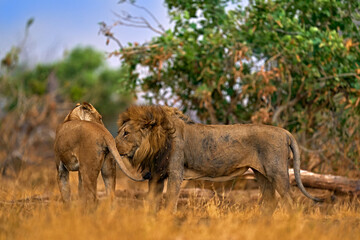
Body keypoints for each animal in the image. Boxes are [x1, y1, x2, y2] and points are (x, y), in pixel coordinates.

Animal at [116, 105, 324, 212]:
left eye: (126, 133)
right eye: (120, 132)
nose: (114, 145)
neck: (155, 144)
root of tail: (284, 132)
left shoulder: (175, 172)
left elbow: (169, 201)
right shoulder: (156, 175)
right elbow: (151, 202)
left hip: (277, 172)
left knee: (289, 201)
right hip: (261, 174)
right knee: (271, 202)